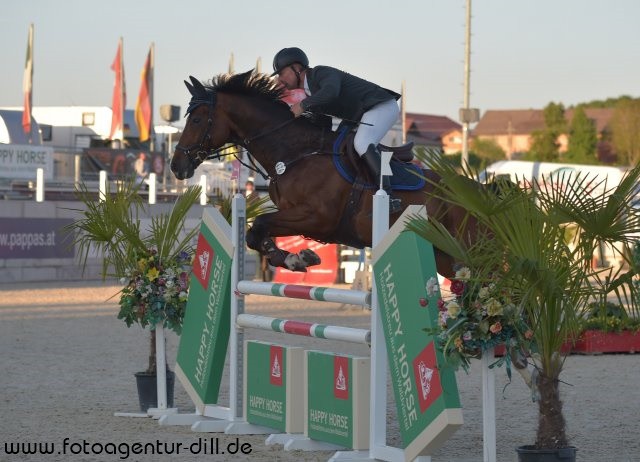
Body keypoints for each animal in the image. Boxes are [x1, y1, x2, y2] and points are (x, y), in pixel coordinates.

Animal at [170, 68, 480, 278]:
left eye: (197, 120)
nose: (176, 166)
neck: (296, 153)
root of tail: (481, 193)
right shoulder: (294, 215)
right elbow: (255, 235)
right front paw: (294, 258)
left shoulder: (317, 217)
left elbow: (259, 224)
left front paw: (297, 258)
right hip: (445, 257)